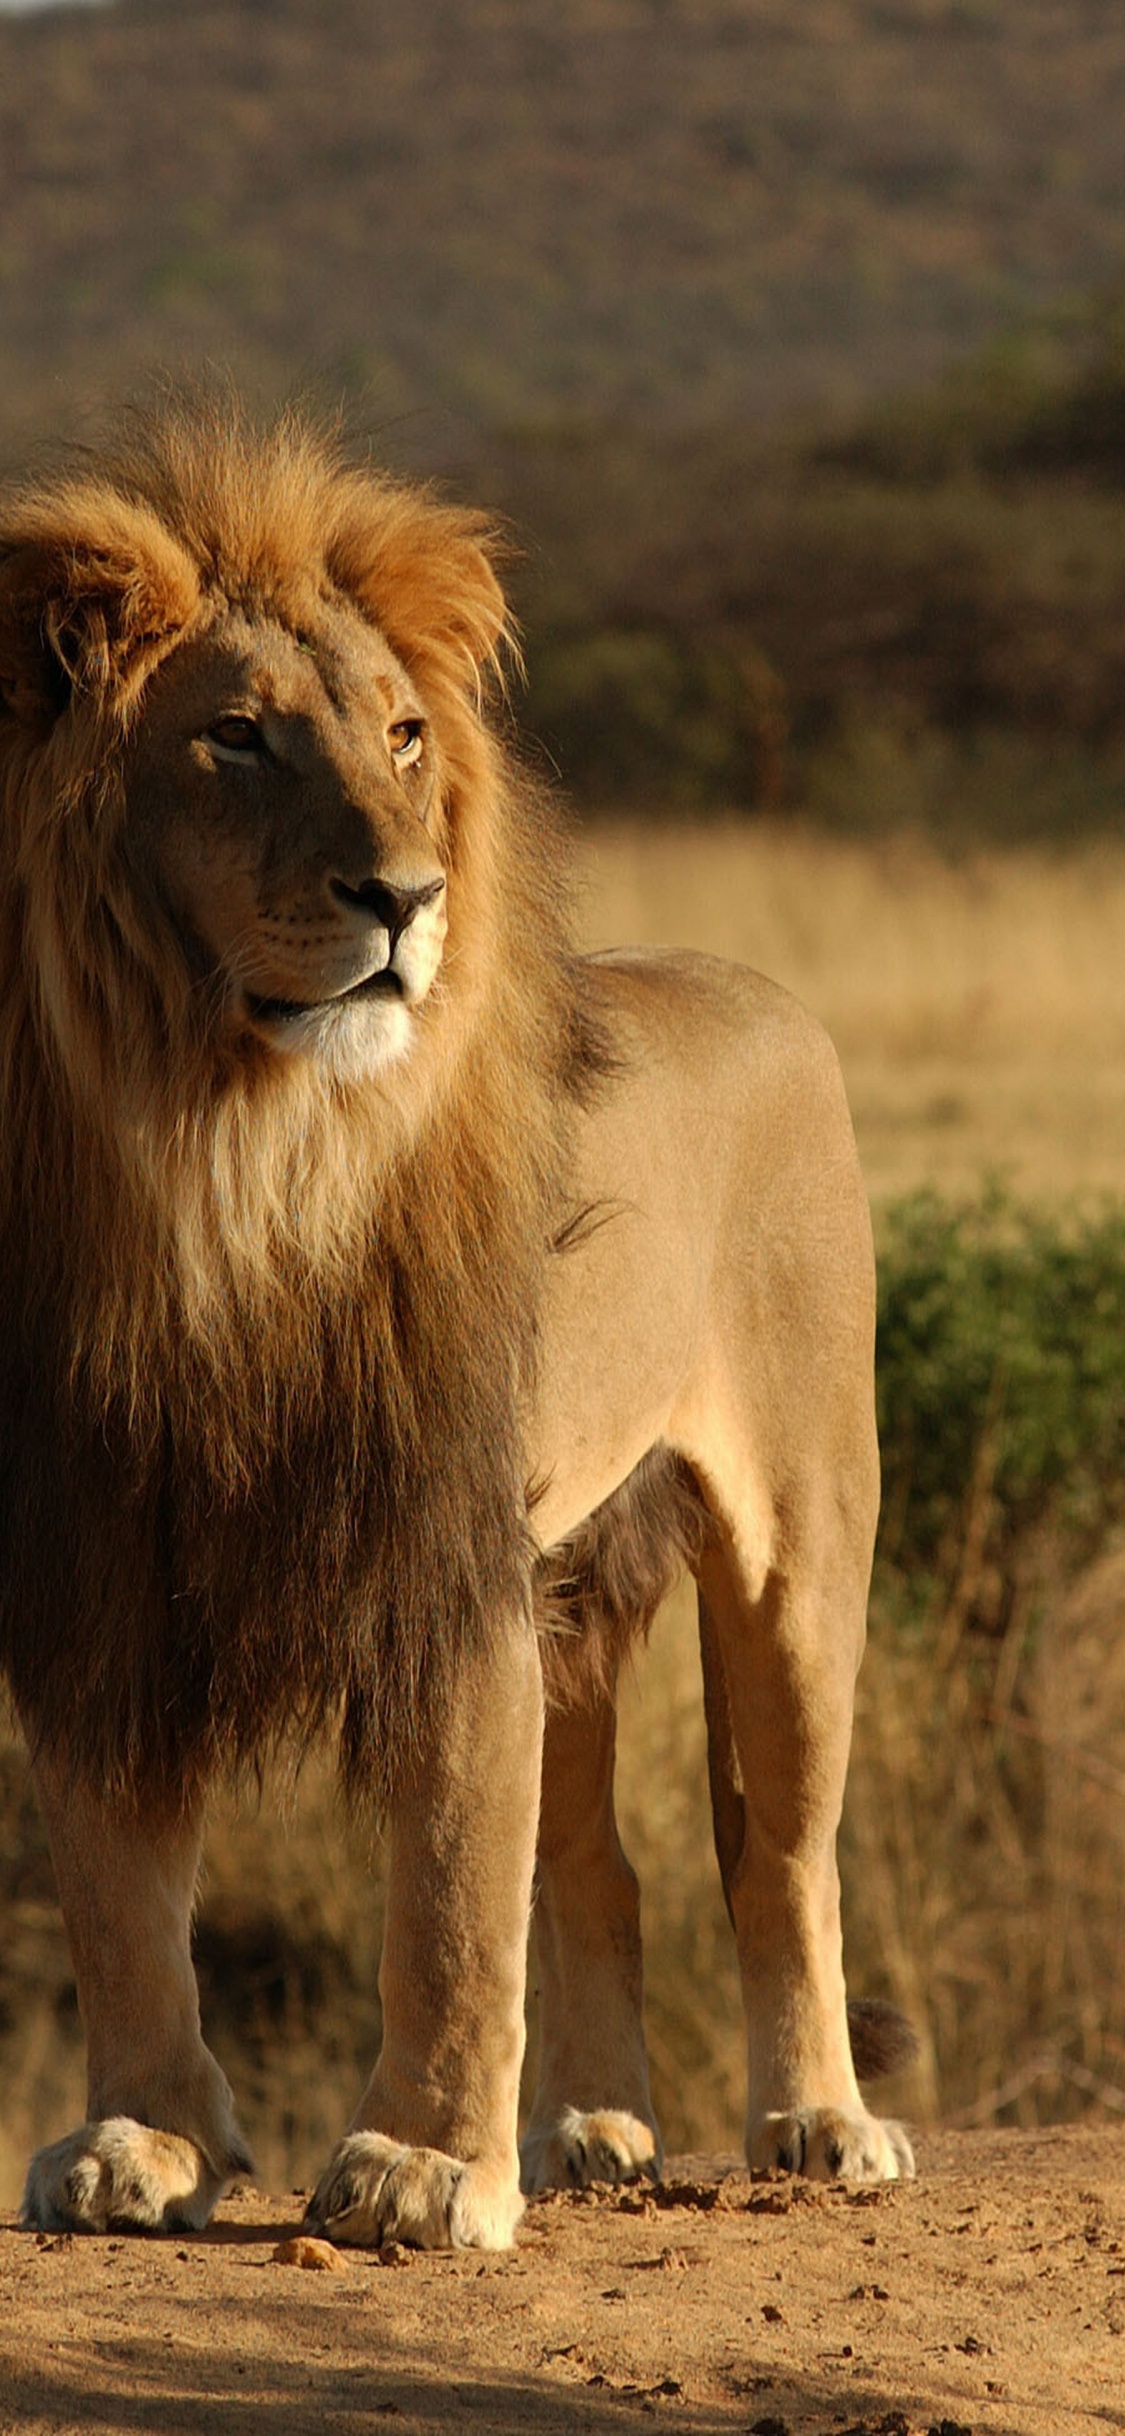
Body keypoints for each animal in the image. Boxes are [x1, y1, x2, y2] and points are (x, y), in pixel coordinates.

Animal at [0, 402, 913, 2250]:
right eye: (234, 741)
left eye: (407, 736)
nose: (405, 897)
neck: (231, 1158)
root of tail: (762, 988)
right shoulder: (100, 1551)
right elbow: (118, 1887)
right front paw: (142, 2139)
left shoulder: (442, 1552)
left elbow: (445, 1886)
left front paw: (421, 2163)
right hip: (570, 1585)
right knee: (599, 1865)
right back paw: (589, 2128)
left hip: (798, 1543)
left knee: (778, 1852)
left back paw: (819, 2122)